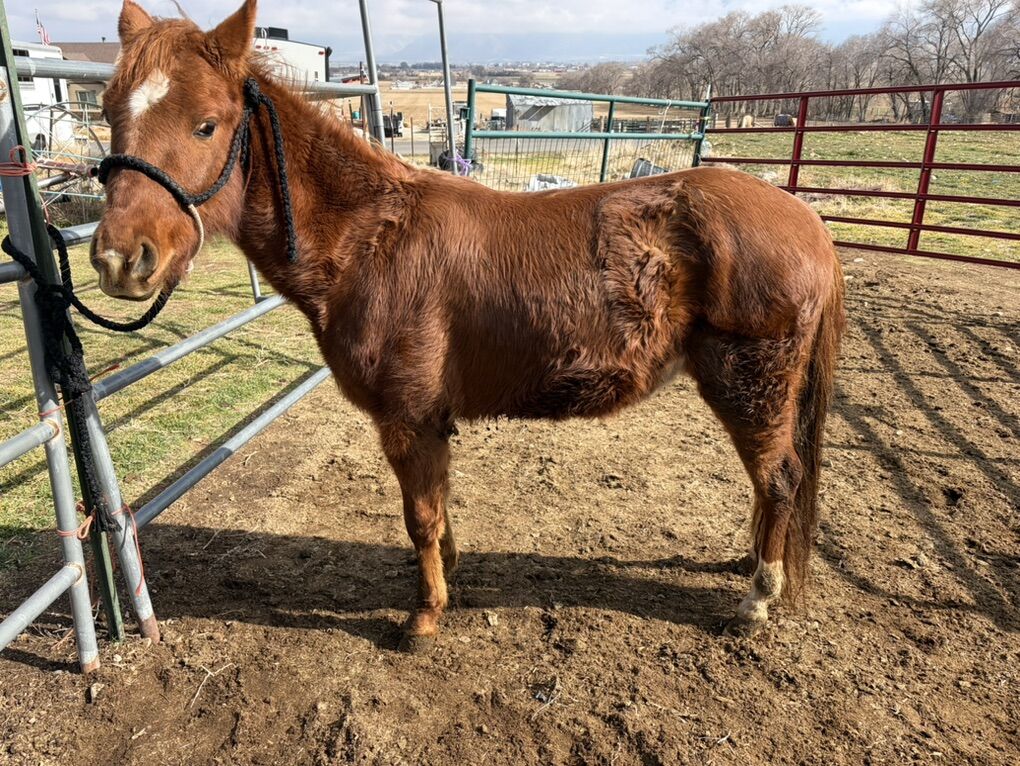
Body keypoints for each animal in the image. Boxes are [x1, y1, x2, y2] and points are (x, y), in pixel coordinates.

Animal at [91, 0, 845, 650]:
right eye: (109, 114)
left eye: (207, 124)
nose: (121, 259)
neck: (372, 240)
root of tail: (806, 221)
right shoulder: (432, 421)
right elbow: (440, 509)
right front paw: (448, 576)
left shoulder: (407, 419)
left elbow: (420, 517)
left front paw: (425, 617)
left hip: (751, 386)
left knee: (780, 478)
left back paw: (757, 595)